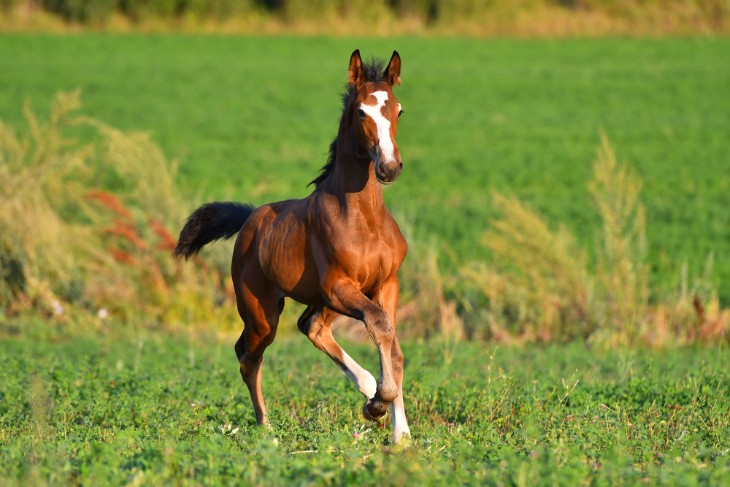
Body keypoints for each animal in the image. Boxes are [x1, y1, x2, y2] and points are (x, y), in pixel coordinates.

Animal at [172, 50, 410, 446]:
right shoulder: (338, 286)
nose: (389, 168)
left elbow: (391, 345)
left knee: (309, 325)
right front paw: (377, 405)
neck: (364, 218)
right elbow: (380, 328)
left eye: (399, 110)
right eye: (362, 111)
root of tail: (250, 217)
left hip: (323, 299)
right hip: (263, 311)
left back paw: (364, 387)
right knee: (248, 356)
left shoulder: (385, 284)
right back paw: (266, 427)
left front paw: (399, 431)